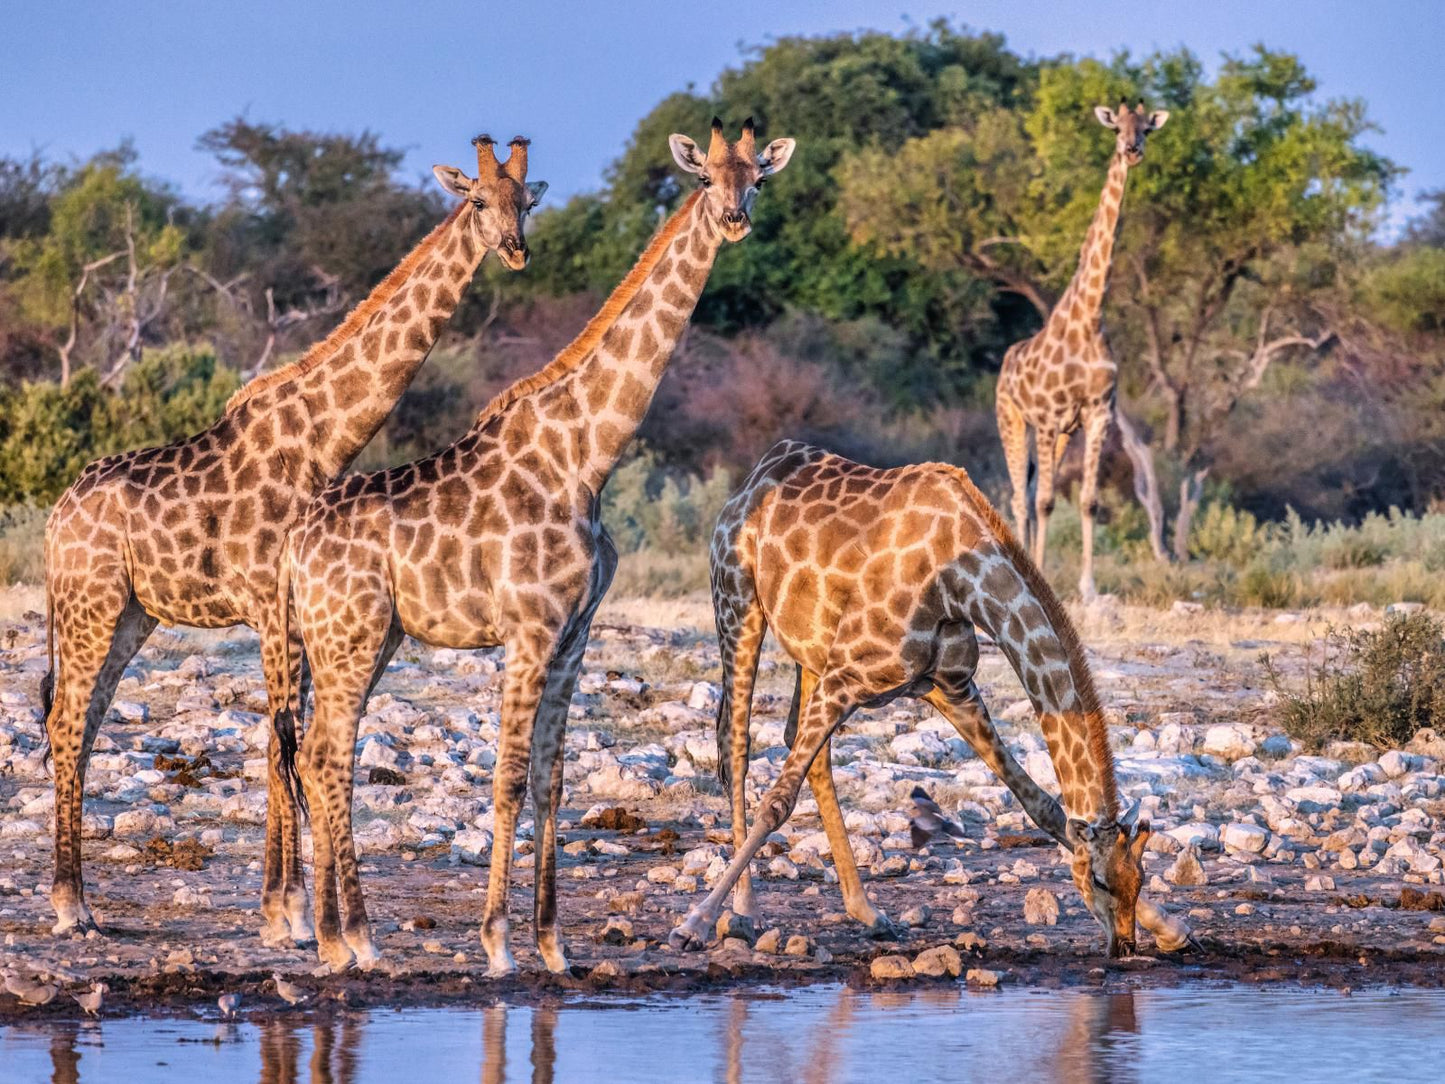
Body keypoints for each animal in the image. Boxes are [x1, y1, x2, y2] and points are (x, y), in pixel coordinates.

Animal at [41, 135, 546, 948]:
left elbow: (286, 738)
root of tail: (57, 517)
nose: (515, 250)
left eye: (526, 202)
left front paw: (282, 910)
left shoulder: (297, 613)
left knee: (81, 723)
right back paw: (69, 905)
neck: (324, 438)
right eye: (476, 200)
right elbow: (283, 739)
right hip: (91, 605)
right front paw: (295, 914)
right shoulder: (273, 609)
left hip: (128, 614)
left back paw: (79, 897)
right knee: (65, 720)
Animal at [278, 118, 803, 977]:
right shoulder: (526, 628)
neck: (586, 456)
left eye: (757, 177)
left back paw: (338, 934)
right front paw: (496, 943)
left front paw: (552, 944)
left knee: (325, 750)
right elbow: (508, 777)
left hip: (366, 636)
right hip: (349, 635)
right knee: (327, 754)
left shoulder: (573, 633)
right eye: (704, 179)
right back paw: (351, 936)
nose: (734, 219)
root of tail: (293, 543)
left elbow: (553, 779)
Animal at [670, 436, 1156, 953]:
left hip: (813, 652)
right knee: (736, 743)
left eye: (1141, 878)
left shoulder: (951, 687)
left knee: (809, 755)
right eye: (1099, 879)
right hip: (737, 603)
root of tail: (752, 479)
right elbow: (777, 802)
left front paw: (1170, 929)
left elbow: (1042, 804)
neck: (962, 582)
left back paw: (868, 912)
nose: (1123, 945)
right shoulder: (847, 675)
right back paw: (744, 910)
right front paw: (693, 923)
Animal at [994, 101, 1173, 604]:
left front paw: (1089, 587)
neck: (1090, 318)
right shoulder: (1049, 416)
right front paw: (1042, 576)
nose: (1132, 149)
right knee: (1022, 498)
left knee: (1032, 496)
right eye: (1116, 127)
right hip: (1013, 420)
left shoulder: (1097, 414)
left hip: (1058, 434)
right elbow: (1044, 500)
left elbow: (1088, 501)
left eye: (1147, 127)